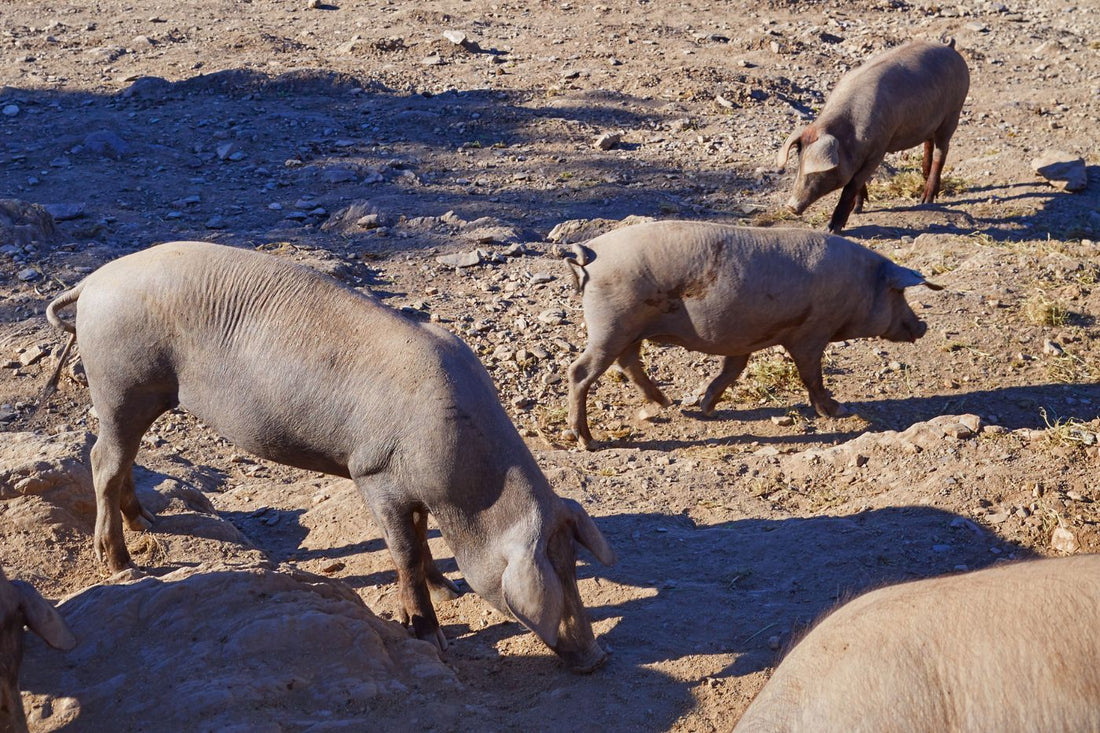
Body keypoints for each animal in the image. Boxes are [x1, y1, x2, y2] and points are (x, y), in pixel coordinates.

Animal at [47, 239, 616, 669]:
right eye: (552, 573)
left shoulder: (408, 489)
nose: (596, 658)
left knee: (120, 460)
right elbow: (404, 552)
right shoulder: (374, 474)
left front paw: (450, 590)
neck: (467, 484)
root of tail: (92, 282)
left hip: (135, 395)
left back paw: (147, 524)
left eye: (573, 564)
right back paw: (123, 565)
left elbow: (420, 541)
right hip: (120, 384)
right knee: (103, 462)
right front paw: (431, 636)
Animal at [563, 220, 941, 449]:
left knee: (628, 362)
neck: (860, 286)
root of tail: (590, 250)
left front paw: (706, 408)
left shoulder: (742, 338)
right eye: (899, 293)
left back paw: (667, 403)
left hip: (627, 327)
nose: (921, 325)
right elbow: (811, 374)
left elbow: (732, 370)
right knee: (581, 371)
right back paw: (588, 441)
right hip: (612, 322)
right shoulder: (812, 331)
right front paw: (839, 411)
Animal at [774, 39, 972, 231]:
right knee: (929, 142)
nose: (790, 206)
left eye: (819, 171)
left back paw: (925, 200)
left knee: (942, 151)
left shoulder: (878, 151)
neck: (849, 137)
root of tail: (949, 47)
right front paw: (858, 209)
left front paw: (832, 229)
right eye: (799, 163)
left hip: (954, 112)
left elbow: (851, 186)